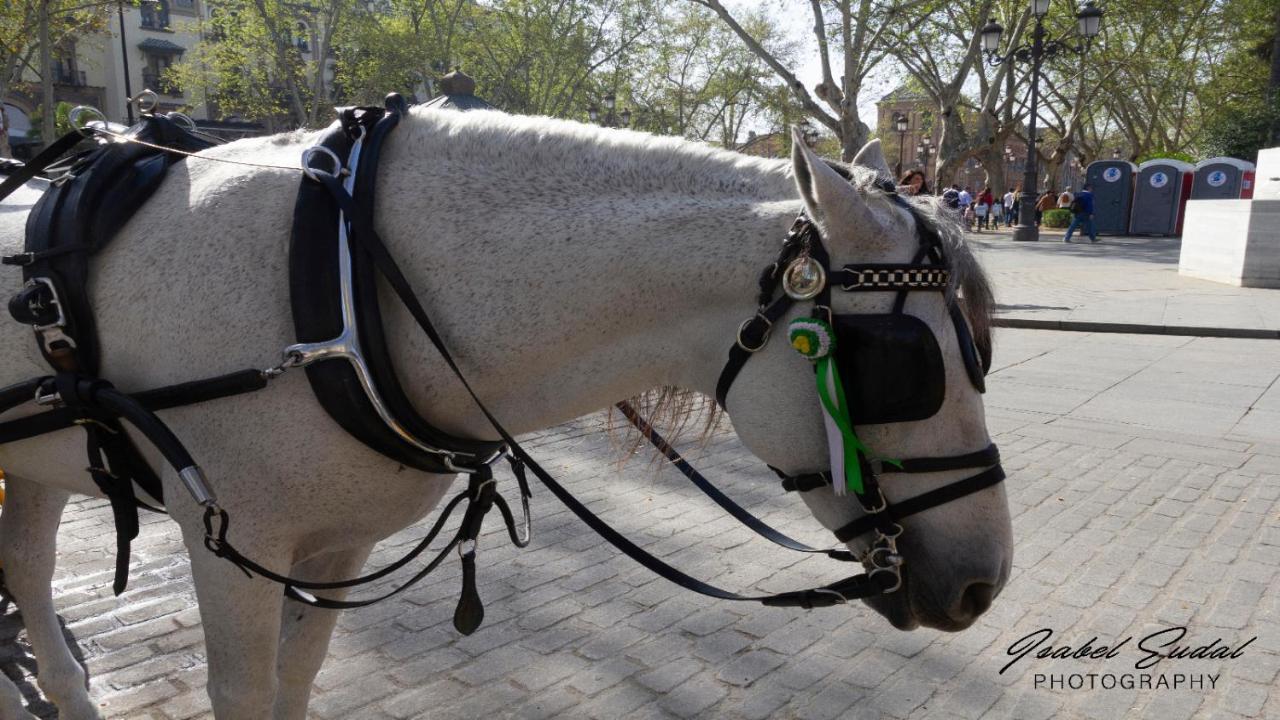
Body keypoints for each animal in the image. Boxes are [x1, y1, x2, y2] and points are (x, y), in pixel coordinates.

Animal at [0, 109, 1008, 712]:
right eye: (906, 366)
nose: (982, 585)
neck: (339, 283)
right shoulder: (232, 554)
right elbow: (248, 692)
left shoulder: (335, 550)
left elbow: (298, 678)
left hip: (34, 468)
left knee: (27, 567)